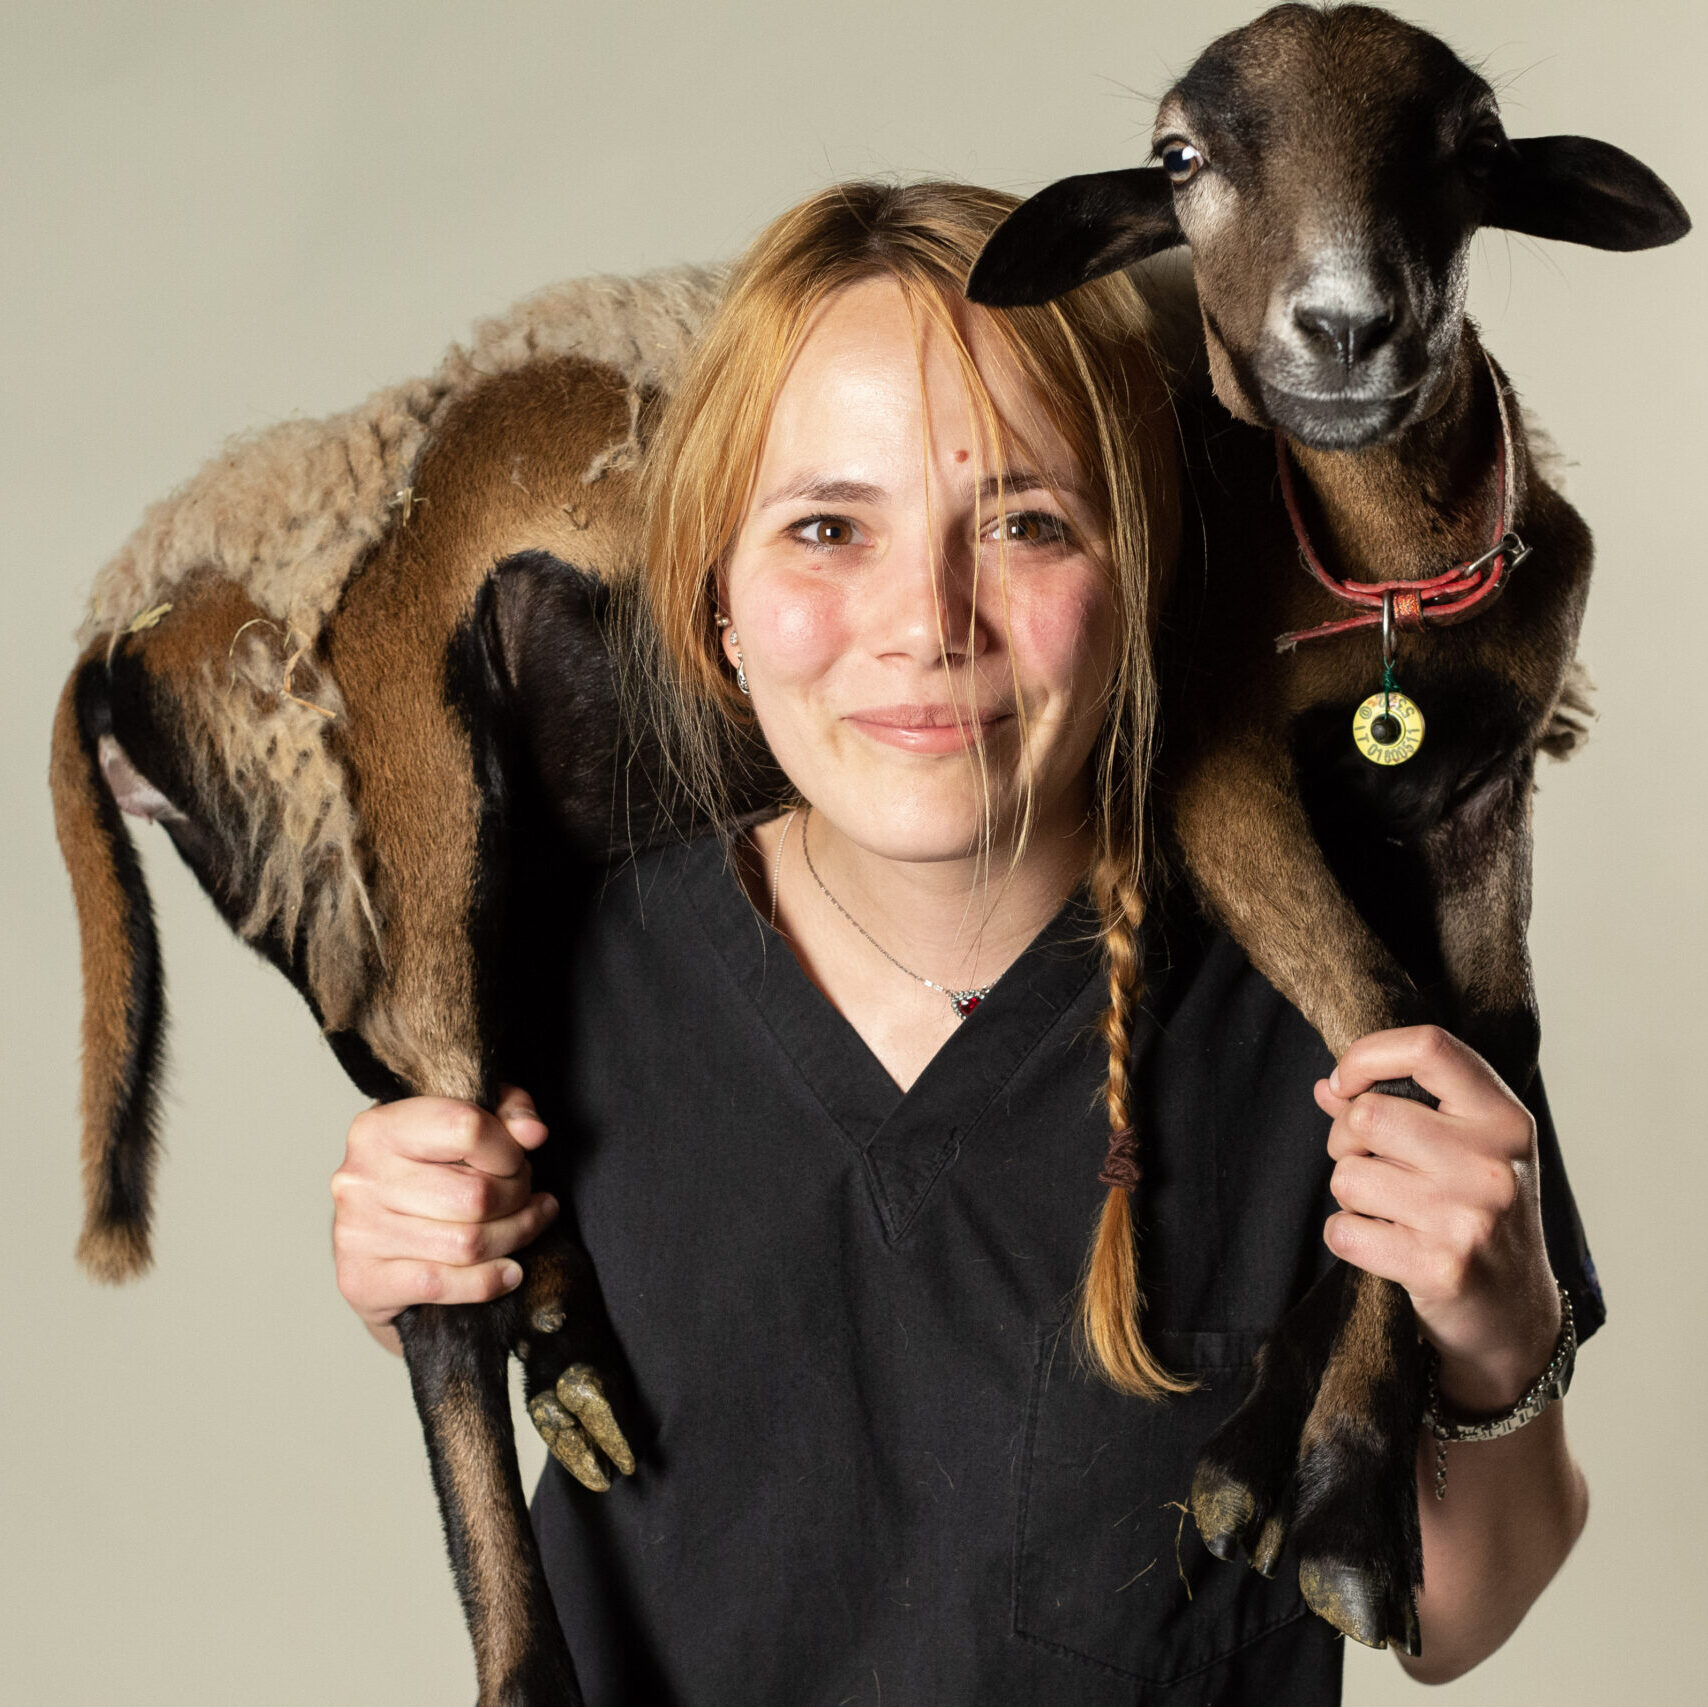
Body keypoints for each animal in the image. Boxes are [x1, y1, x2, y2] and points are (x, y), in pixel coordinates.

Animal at [967, 0, 1689, 1657]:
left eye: (1478, 148)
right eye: (1178, 156)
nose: (1350, 327)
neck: (1392, 589)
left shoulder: (1488, 783)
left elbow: (1485, 1039)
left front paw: (1343, 1477)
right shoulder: (1216, 770)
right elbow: (1388, 1011)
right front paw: (1346, 1499)